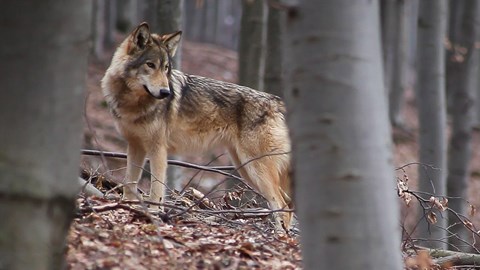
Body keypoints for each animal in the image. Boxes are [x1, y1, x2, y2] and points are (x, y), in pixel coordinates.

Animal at [101, 22, 292, 230]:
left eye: (166, 68)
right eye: (150, 65)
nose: (166, 92)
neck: (133, 103)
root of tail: (278, 102)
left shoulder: (158, 150)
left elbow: (156, 190)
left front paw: (154, 214)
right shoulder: (135, 146)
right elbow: (129, 183)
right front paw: (125, 208)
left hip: (256, 169)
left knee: (282, 205)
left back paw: (280, 234)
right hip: (245, 169)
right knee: (288, 203)